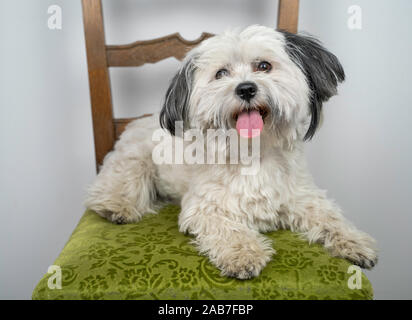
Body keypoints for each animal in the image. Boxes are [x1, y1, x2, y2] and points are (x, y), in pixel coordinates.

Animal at [85, 25, 378, 278]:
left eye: (264, 66)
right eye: (221, 73)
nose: (246, 88)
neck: (253, 152)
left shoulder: (303, 197)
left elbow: (329, 217)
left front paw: (354, 241)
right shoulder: (205, 208)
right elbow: (229, 230)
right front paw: (244, 254)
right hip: (134, 163)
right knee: (115, 185)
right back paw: (116, 206)